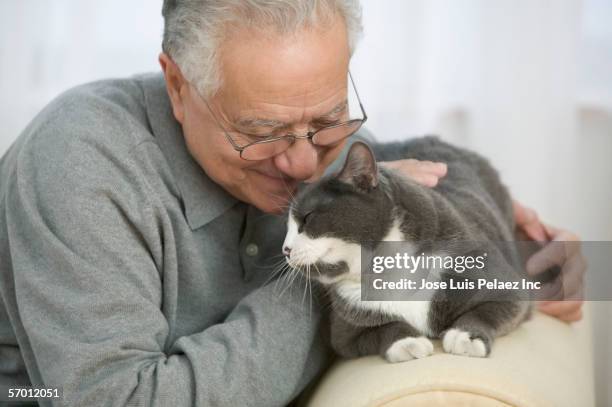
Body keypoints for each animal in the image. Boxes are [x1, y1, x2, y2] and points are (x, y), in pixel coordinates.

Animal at [280, 137, 532, 364]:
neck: (390, 270)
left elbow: (491, 309)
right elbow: (382, 328)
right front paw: (407, 342)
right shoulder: (346, 331)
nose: (285, 249)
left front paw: (466, 336)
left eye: (307, 218)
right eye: (287, 227)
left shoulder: (496, 278)